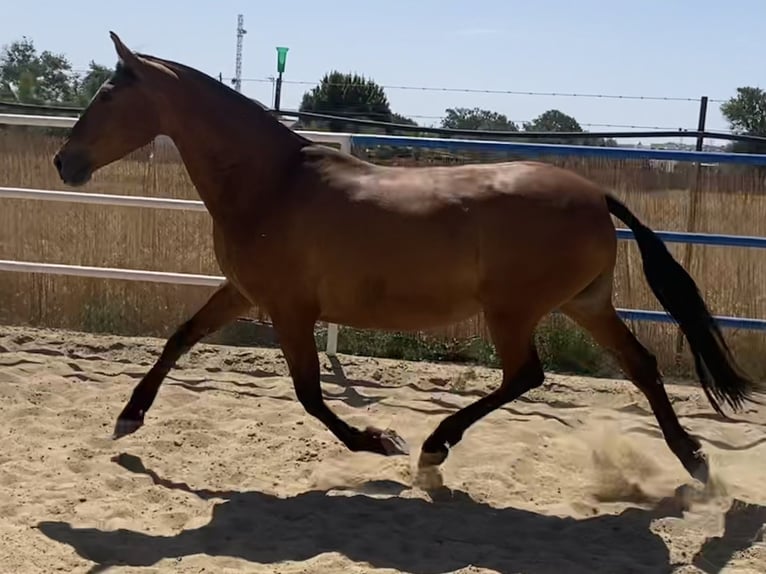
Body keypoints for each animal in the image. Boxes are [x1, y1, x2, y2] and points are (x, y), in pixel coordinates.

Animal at [51, 33, 764, 488]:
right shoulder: (244, 291)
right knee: (640, 366)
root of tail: (595, 195)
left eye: (108, 95)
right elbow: (180, 338)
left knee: (526, 375)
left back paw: (433, 447)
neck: (272, 183)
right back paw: (694, 462)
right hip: (585, 303)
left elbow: (309, 393)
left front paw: (379, 442)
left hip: (515, 310)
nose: (64, 162)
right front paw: (127, 419)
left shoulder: (288, 308)